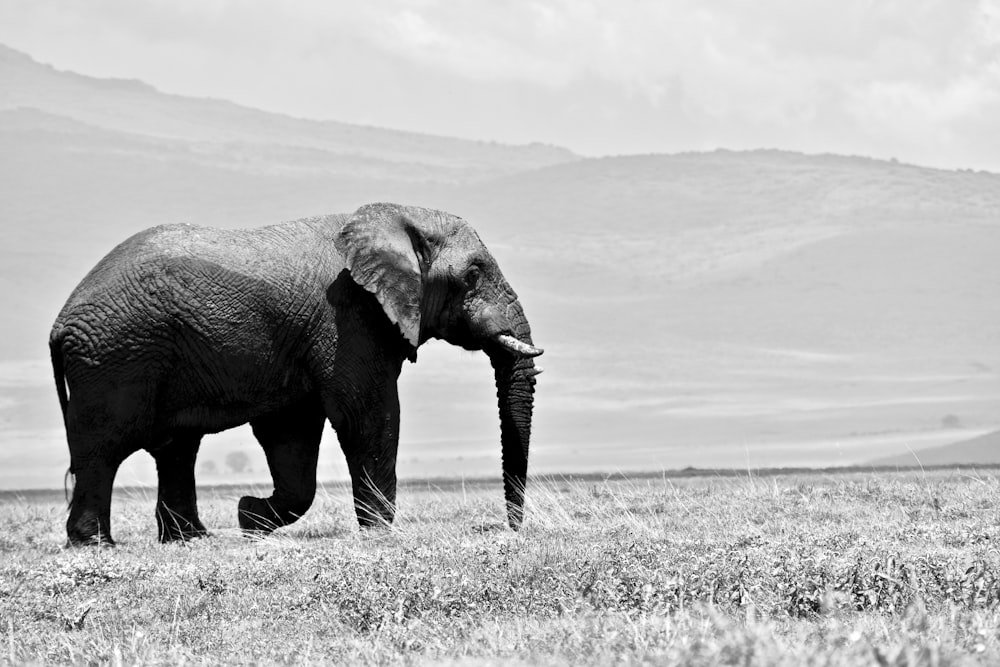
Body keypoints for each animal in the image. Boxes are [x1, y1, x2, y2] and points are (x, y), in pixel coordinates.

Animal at [49, 204, 544, 548]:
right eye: (473, 274)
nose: (513, 530)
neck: (398, 218)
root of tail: (60, 324)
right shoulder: (348, 318)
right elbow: (366, 414)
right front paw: (380, 534)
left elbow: (291, 435)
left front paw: (248, 518)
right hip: (114, 358)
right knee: (102, 448)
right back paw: (96, 545)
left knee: (176, 448)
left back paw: (192, 539)